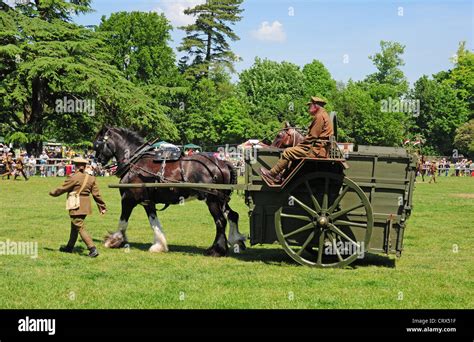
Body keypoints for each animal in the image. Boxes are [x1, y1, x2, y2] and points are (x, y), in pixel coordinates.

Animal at [94, 127, 246, 256]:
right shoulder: (148, 202)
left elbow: (123, 221)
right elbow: (154, 222)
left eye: (97, 144)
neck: (135, 162)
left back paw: (217, 249)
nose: (97, 161)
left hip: (212, 199)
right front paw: (159, 245)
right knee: (233, 215)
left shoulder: (128, 199)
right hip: (221, 199)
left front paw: (114, 240)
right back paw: (236, 240)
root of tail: (223, 163)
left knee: (220, 221)